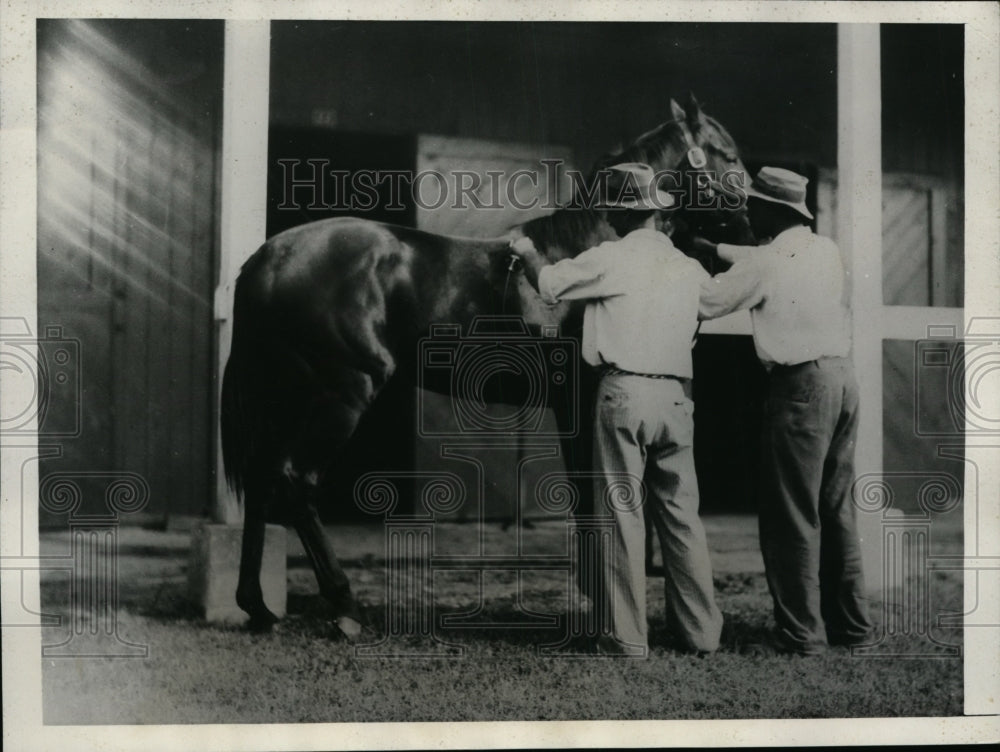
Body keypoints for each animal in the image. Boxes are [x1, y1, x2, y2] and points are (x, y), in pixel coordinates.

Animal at [221, 92, 752, 636]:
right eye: (727, 155)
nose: (747, 225)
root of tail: (268, 258)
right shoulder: (584, 401)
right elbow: (590, 496)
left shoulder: (569, 406)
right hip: (341, 393)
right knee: (297, 485)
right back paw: (344, 607)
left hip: (285, 398)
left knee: (262, 483)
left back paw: (257, 607)